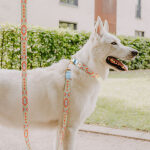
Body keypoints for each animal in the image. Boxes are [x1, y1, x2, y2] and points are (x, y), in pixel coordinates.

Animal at [0, 16, 138, 150]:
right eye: (114, 43)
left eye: (119, 41)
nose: (136, 52)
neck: (84, 69)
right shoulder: (69, 128)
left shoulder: (61, 129)